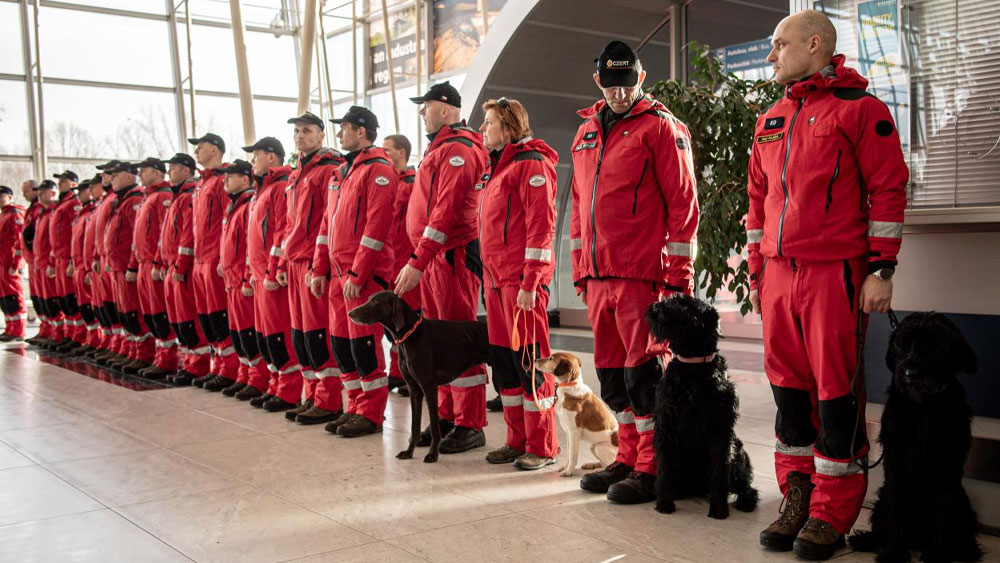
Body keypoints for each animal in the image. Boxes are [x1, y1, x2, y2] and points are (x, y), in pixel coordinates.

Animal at [350, 290, 490, 462]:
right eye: (370, 299)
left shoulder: (429, 387)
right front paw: (409, 451)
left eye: (376, 301)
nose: (350, 313)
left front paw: (432, 454)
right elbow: (414, 427)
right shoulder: (414, 389)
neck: (411, 334)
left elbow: (435, 427)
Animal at [644, 296, 760, 520]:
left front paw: (719, 507)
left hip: (738, 451)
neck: (693, 367)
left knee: (746, 486)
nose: (655, 306)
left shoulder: (720, 431)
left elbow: (719, 471)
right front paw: (664, 501)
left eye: (684, 303)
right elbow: (665, 467)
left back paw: (745, 501)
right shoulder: (666, 426)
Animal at [848, 312, 980, 563]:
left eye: (933, 343)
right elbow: (897, 512)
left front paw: (938, 555)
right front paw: (893, 553)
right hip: (882, 498)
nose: (910, 374)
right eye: (903, 343)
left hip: (963, 503)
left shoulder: (946, 468)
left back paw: (966, 550)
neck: (922, 407)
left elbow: (942, 512)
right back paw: (868, 540)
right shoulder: (896, 464)